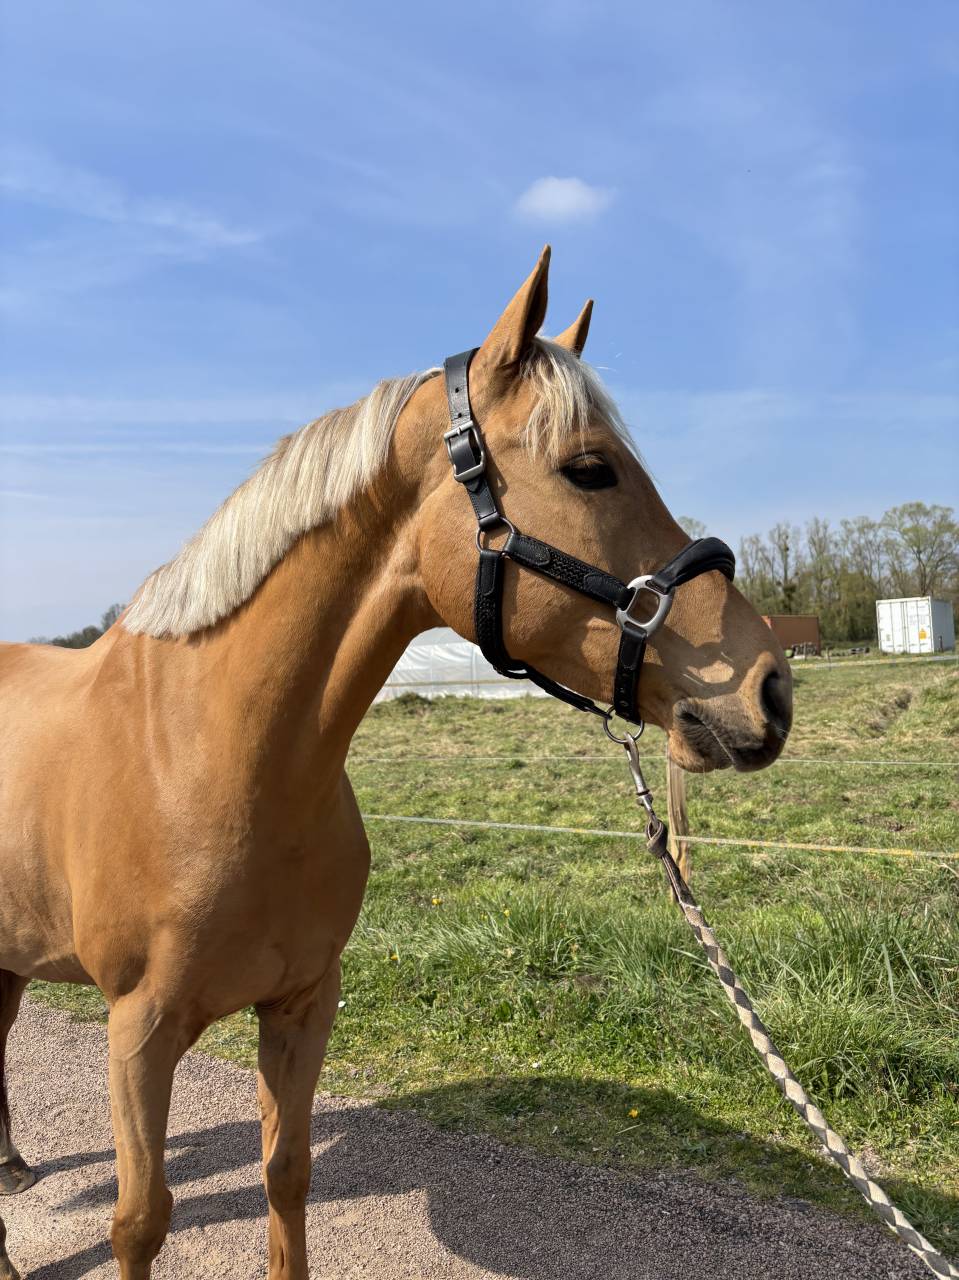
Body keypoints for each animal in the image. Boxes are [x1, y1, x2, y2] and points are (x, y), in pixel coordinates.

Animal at [0, 247, 791, 1280]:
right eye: (589, 469)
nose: (770, 691)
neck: (213, 760)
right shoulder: (137, 1033)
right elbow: (139, 1220)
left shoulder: (303, 1005)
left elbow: (286, 1175)